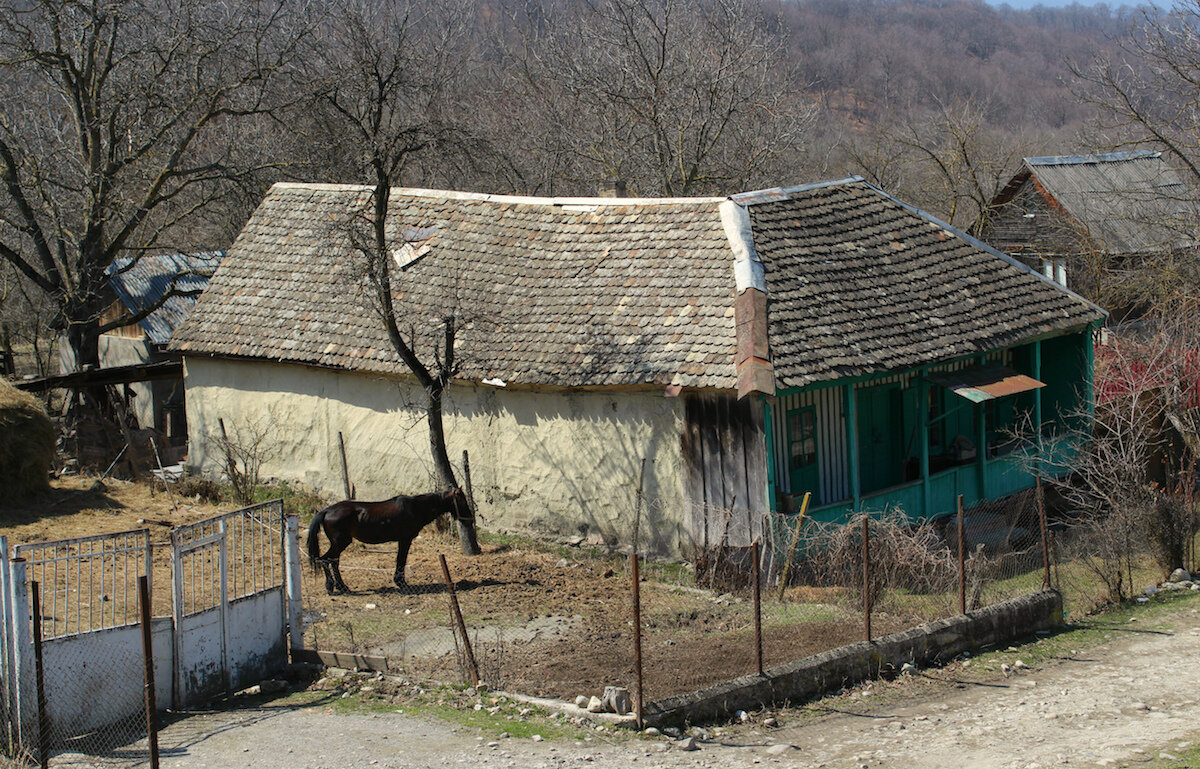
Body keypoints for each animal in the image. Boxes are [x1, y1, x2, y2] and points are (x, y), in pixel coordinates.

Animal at [307, 484, 480, 595]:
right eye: (462, 501)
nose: (470, 519)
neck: (416, 508)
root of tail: (326, 511)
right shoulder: (405, 539)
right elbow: (401, 560)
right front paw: (401, 583)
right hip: (340, 542)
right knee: (325, 560)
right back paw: (332, 587)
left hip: (339, 543)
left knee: (333, 561)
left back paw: (341, 587)